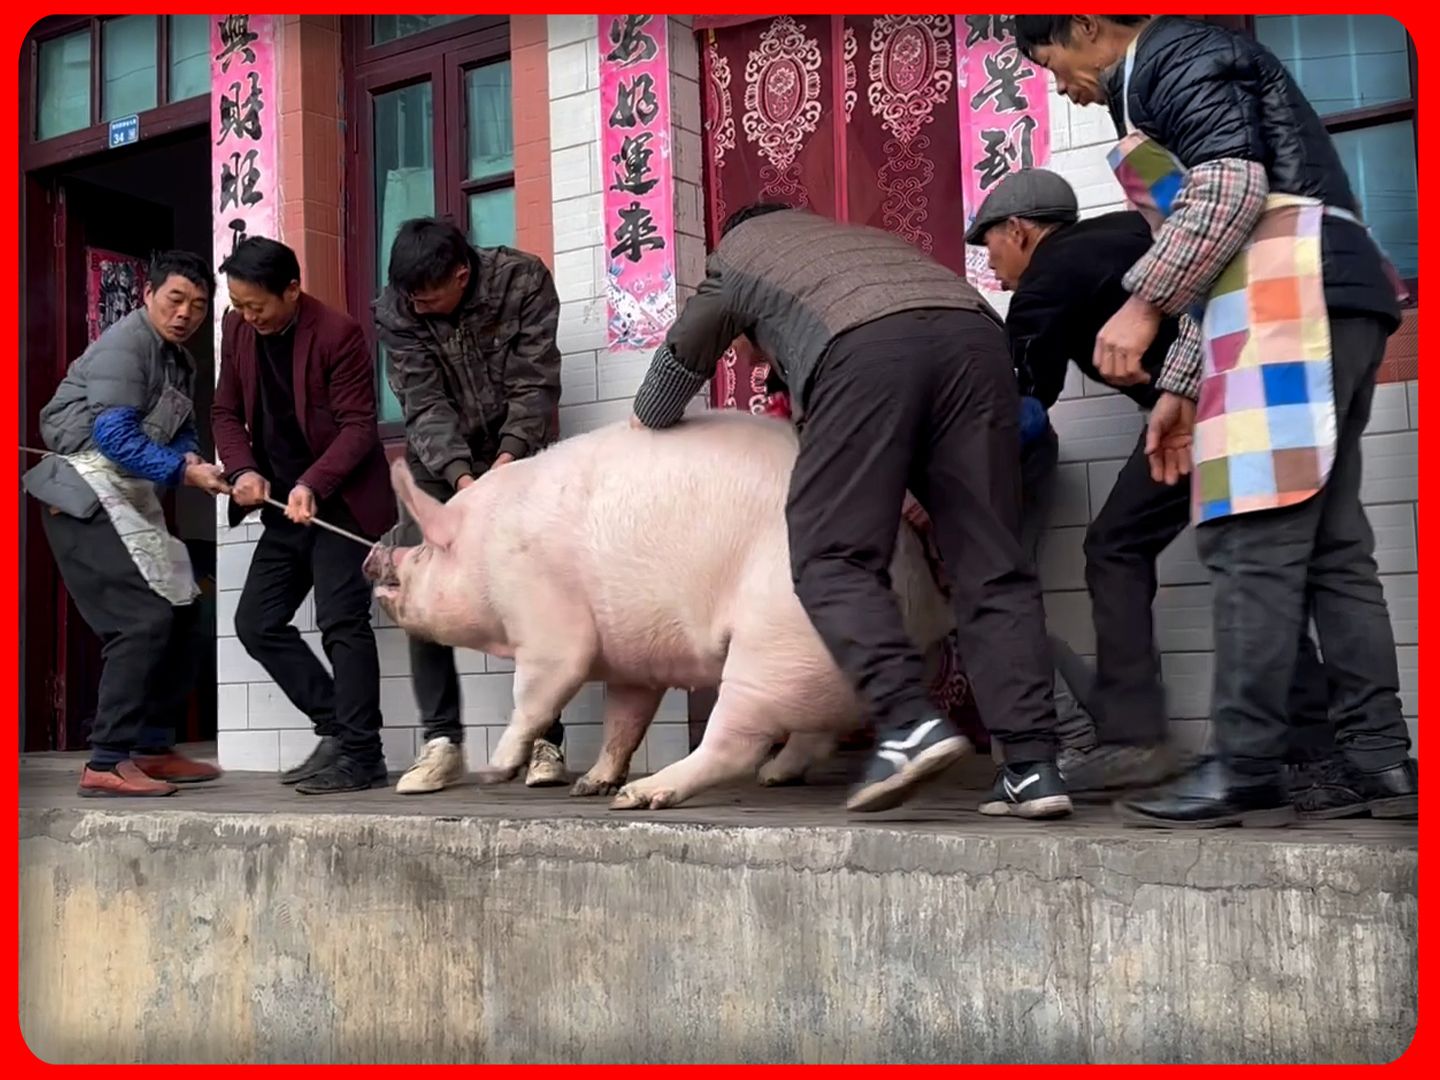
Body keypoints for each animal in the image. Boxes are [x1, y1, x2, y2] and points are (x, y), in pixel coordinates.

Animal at [365, 411, 961, 812]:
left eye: (423, 551)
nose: (375, 556)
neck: (484, 548)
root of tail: (913, 582)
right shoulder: (632, 660)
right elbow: (623, 721)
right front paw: (589, 784)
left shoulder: (543, 613)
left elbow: (542, 687)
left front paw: (498, 770)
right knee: (818, 728)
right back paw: (773, 776)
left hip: (774, 637)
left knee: (738, 740)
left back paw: (642, 795)